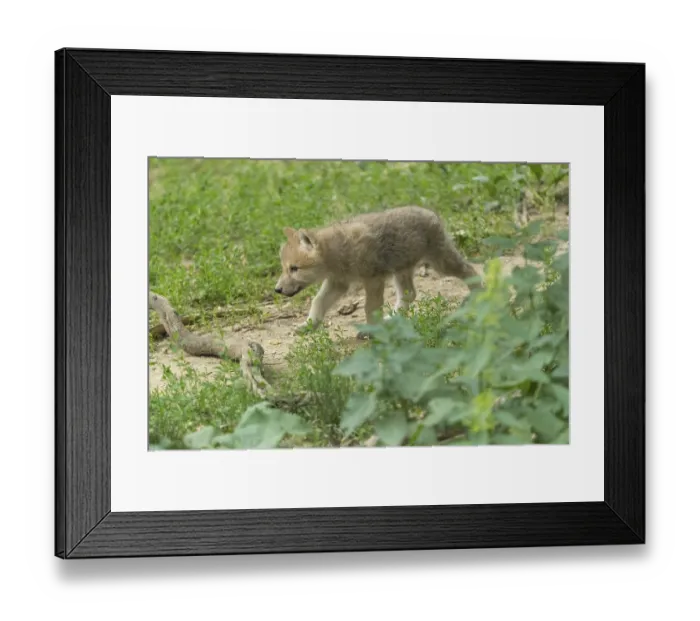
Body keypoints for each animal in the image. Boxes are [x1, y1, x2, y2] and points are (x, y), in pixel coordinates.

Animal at [274, 205, 482, 335]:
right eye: (284, 269)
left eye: (294, 269)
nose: (277, 289)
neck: (337, 252)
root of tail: (431, 213)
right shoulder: (337, 283)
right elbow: (317, 302)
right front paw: (308, 326)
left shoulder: (373, 279)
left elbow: (370, 308)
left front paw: (371, 332)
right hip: (401, 270)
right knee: (410, 294)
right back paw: (392, 319)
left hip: (441, 263)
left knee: (470, 270)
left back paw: (478, 296)